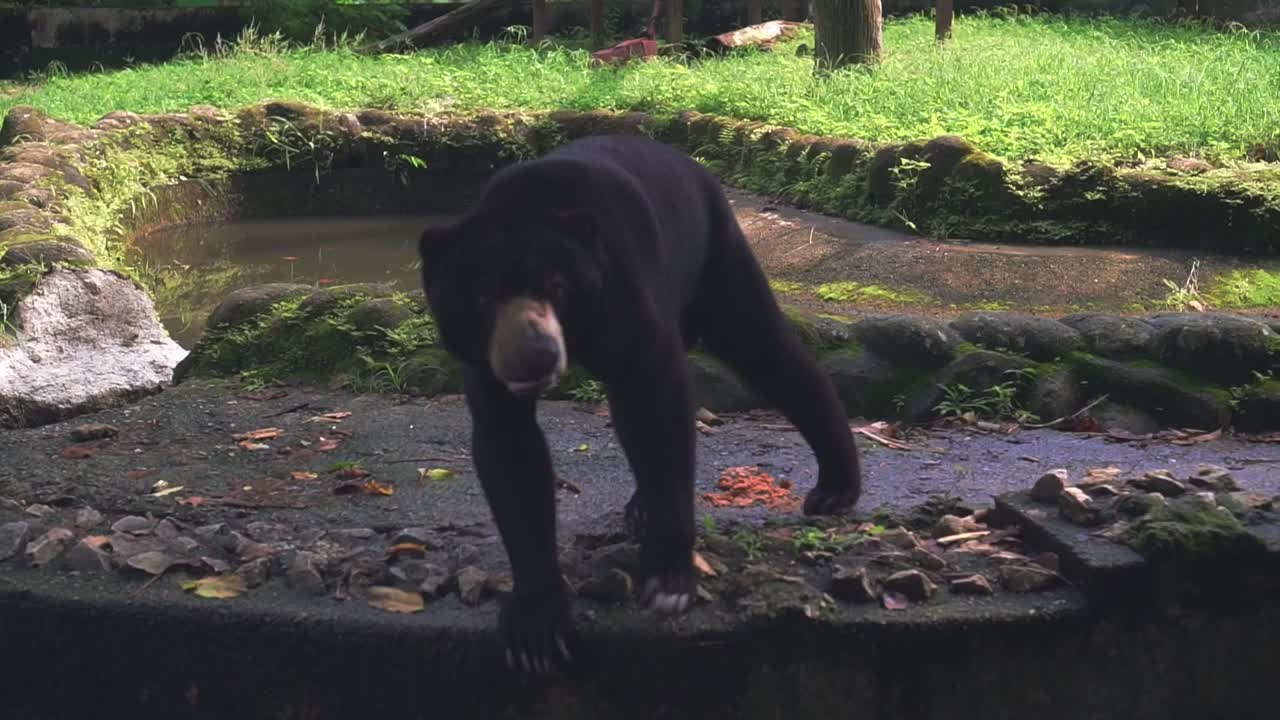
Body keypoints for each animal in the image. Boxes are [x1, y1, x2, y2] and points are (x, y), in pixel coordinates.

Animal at [417, 134, 863, 675]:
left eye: (557, 288)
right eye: (483, 295)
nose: (535, 353)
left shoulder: (624, 287)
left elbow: (657, 404)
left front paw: (669, 582)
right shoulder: (485, 359)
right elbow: (509, 447)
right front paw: (535, 627)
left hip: (717, 252)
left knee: (767, 350)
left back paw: (835, 488)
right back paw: (639, 508)